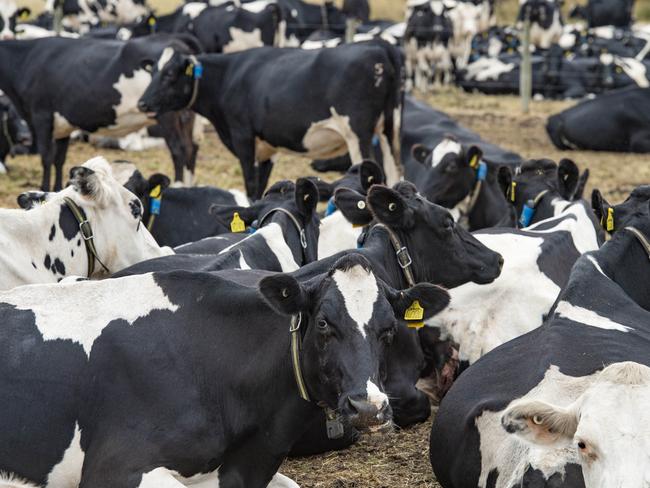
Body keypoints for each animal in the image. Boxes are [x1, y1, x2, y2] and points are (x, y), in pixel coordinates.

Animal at [0, 33, 200, 191]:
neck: (26, 60)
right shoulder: (63, 125)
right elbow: (59, 160)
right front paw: (56, 190)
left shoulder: (41, 117)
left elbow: (46, 158)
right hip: (186, 115)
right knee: (191, 147)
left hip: (167, 115)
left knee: (178, 149)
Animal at [139, 40, 402, 198]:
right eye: (152, 72)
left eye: (169, 74)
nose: (142, 103)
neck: (228, 76)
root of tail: (378, 45)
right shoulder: (267, 146)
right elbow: (260, 188)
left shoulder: (243, 137)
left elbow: (250, 186)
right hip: (389, 129)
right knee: (394, 174)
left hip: (358, 134)